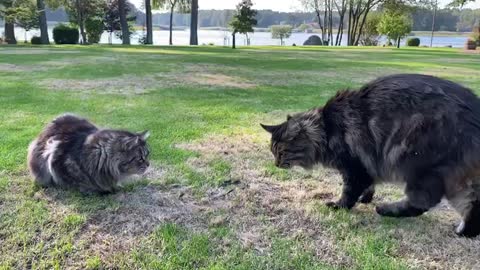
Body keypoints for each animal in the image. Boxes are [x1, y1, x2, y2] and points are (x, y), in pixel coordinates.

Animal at [262, 73, 480, 236]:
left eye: (281, 152)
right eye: (273, 152)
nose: (276, 164)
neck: (326, 129)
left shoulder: (354, 167)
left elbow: (349, 191)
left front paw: (340, 205)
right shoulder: (368, 165)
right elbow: (369, 185)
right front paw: (365, 198)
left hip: (420, 165)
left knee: (424, 202)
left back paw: (385, 210)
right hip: (456, 178)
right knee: (471, 205)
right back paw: (465, 232)